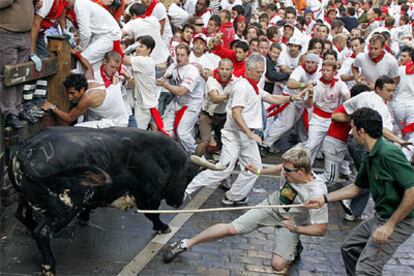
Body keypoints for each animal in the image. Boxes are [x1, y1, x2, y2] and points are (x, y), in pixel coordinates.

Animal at [8, 126, 223, 274]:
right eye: (188, 177)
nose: (178, 202)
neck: (160, 157)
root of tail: (25, 151)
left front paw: (85, 219)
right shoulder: (148, 197)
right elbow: (153, 215)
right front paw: (163, 227)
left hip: (27, 200)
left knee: (23, 216)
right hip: (65, 208)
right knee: (42, 232)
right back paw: (49, 266)